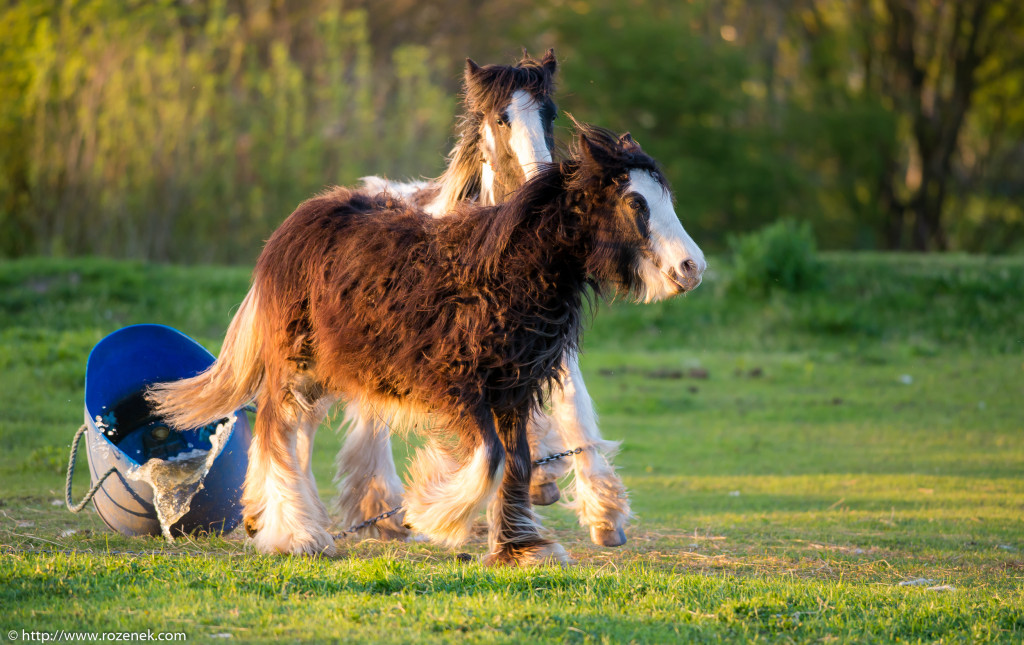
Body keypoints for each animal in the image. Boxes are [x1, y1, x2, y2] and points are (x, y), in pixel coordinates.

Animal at [148, 122, 704, 565]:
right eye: (635, 203)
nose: (691, 269)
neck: (500, 277)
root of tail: (293, 227)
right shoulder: (458, 387)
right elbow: (490, 457)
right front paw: (432, 514)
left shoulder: (513, 391)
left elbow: (517, 461)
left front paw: (521, 548)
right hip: (295, 363)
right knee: (275, 430)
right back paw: (296, 535)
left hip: (322, 372)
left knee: (297, 433)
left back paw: (283, 524)